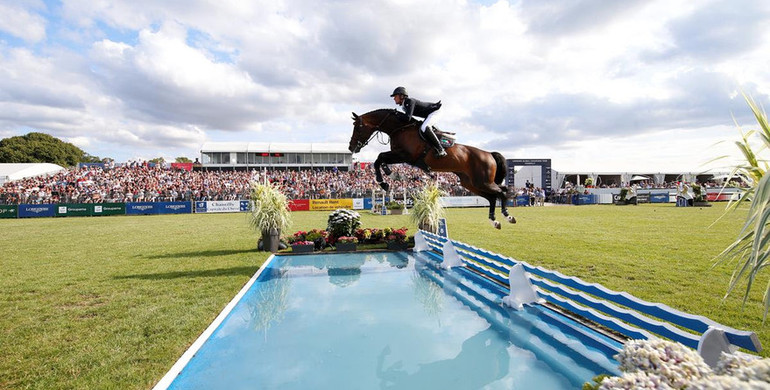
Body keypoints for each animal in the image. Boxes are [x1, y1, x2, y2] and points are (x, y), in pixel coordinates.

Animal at [348, 108, 516, 229]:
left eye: (358, 127)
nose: (351, 147)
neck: (400, 128)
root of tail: (489, 154)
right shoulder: (401, 156)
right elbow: (379, 159)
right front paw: (387, 177)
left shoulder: (405, 155)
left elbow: (379, 157)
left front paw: (384, 181)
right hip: (471, 183)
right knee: (493, 197)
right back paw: (494, 221)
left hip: (483, 182)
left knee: (502, 192)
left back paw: (508, 216)